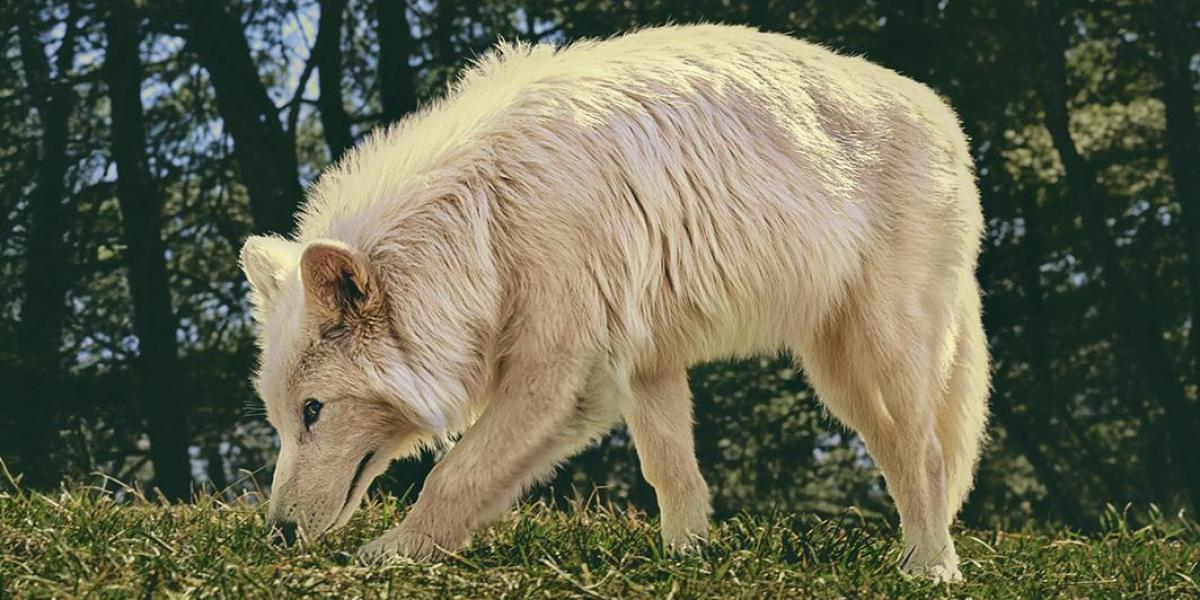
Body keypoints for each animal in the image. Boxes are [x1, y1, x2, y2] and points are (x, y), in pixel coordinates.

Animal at [241, 24, 989, 582]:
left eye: (313, 412)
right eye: (280, 419)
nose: (275, 535)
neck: (487, 221)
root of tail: (948, 119)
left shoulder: (565, 376)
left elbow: (453, 474)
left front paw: (389, 557)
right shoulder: (648, 364)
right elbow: (673, 474)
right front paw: (688, 563)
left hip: (883, 350)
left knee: (927, 453)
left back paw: (931, 571)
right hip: (837, 376)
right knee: (900, 453)